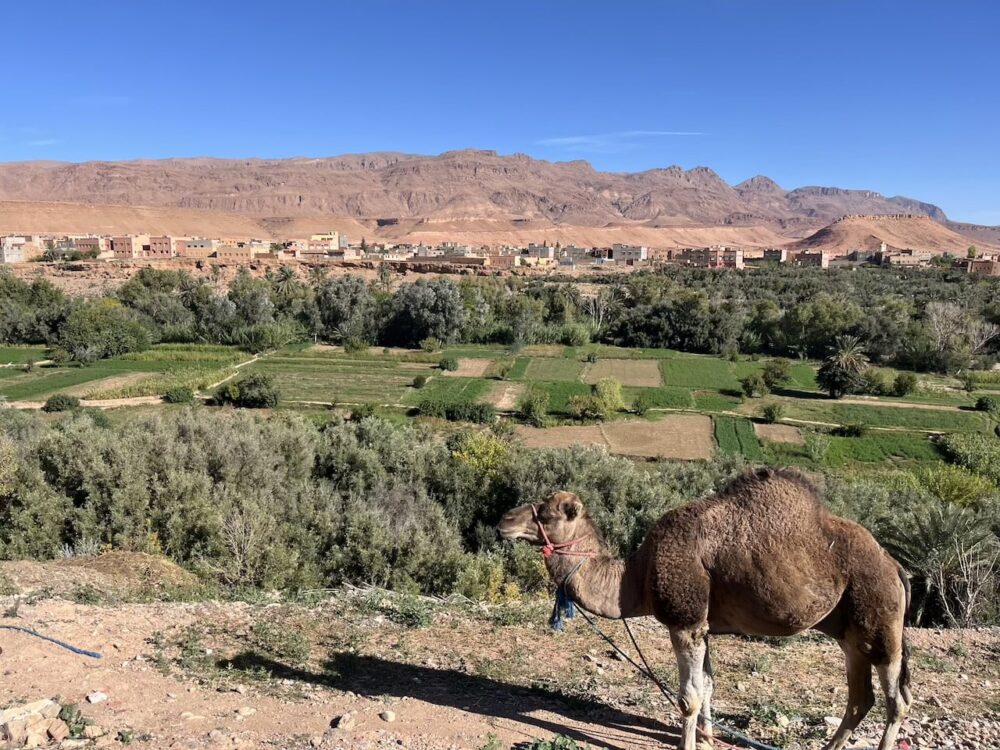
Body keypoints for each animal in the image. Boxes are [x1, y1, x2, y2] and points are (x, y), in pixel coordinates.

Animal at [496, 470, 912, 750]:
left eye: (547, 515)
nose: (504, 521)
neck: (637, 577)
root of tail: (896, 567)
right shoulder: (704, 624)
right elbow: (709, 684)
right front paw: (709, 736)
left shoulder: (685, 620)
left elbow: (689, 696)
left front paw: (688, 743)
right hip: (849, 632)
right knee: (860, 699)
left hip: (880, 618)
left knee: (896, 699)